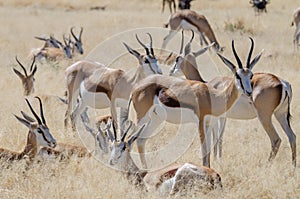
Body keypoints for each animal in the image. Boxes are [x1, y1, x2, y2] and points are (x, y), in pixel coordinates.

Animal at [170, 34, 296, 166]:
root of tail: (281, 83)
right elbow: (220, 137)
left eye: (177, 59)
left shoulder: (214, 118)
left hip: (264, 117)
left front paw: (216, 160)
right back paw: (293, 166)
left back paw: (267, 165)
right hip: (280, 114)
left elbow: (215, 138)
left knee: (276, 139)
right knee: (292, 137)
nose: (171, 71)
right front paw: (219, 159)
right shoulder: (222, 117)